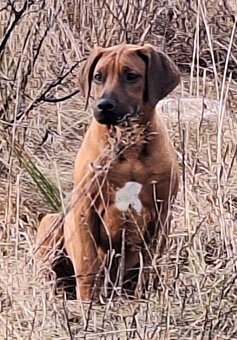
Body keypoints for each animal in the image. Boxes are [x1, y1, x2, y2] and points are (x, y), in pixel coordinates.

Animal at [35, 43, 180, 302]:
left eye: (131, 76)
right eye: (98, 77)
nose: (104, 106)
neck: (129, 146)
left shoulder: (162, 215)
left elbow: (150, 265)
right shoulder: (84, 208)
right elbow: (87, 264)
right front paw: (87, 304)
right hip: (50, 222)